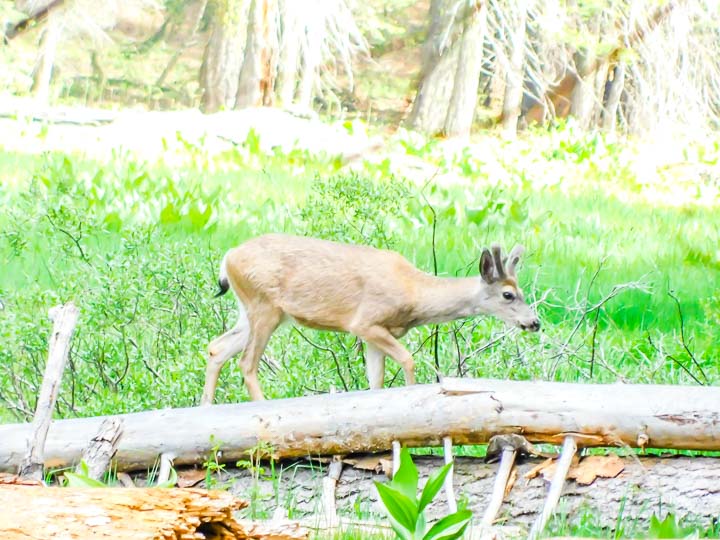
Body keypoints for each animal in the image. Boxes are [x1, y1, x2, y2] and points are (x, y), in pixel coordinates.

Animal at [200, 234, 536, 402]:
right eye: (508, 295)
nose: (535, 322)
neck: (414, 293)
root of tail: (227, 257)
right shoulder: (365, 322)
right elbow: (408, 360)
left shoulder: (374, 335)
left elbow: (376, 381)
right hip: (264, 305)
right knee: (246, 362)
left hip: (256, 310)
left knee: (217, 347)